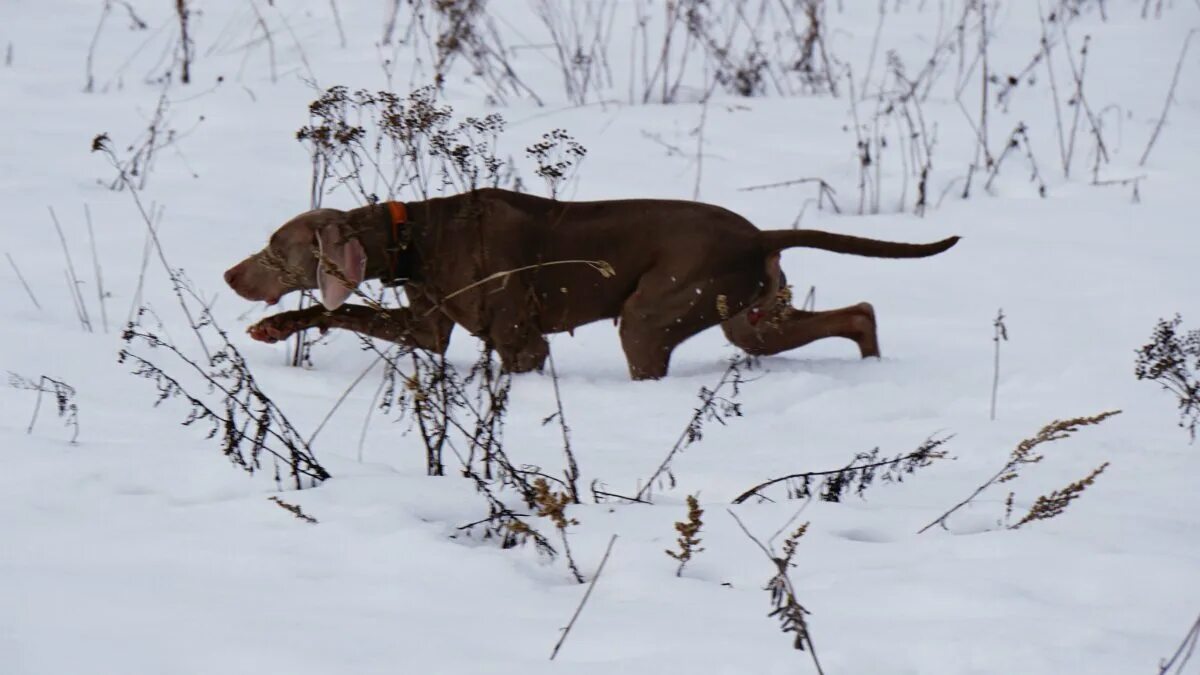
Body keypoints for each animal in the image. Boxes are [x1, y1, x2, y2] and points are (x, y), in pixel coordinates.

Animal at [223, 187, 955, 379]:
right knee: (860, 312)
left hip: (653, 316)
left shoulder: (520, 343)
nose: (229, 275)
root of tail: (758, 235)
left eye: (274, 250)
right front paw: (275, 327)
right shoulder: (424, 325)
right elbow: (335, 312)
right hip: (751, 316)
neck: (414, 237)